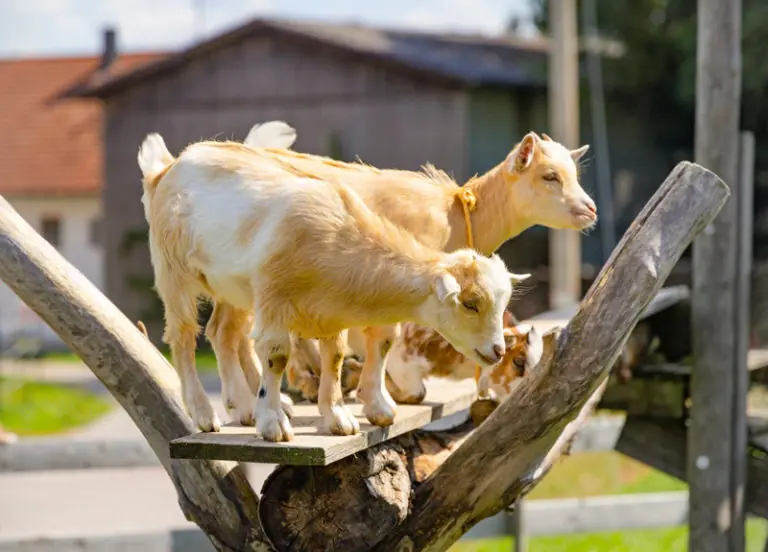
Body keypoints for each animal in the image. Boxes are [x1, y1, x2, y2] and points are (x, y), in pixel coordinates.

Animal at [137, 133, 529, 441]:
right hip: (173, 271)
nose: (497, 350)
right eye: (470, 303)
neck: (337, 238)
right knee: (183, 337)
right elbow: (276, 357)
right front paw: (273, 423)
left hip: (228, 288)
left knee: (221, 332)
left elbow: (335, 357)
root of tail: (167, 168)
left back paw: (244, 407)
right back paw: (205, 413)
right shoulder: (274, 298)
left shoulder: (330, 311)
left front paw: (337, 417)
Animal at [242, 122, 596, 423]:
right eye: (550, 176)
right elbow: (388, 340)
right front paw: (376, 399)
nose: (590, 209)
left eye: (575, 174)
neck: (456, 215)